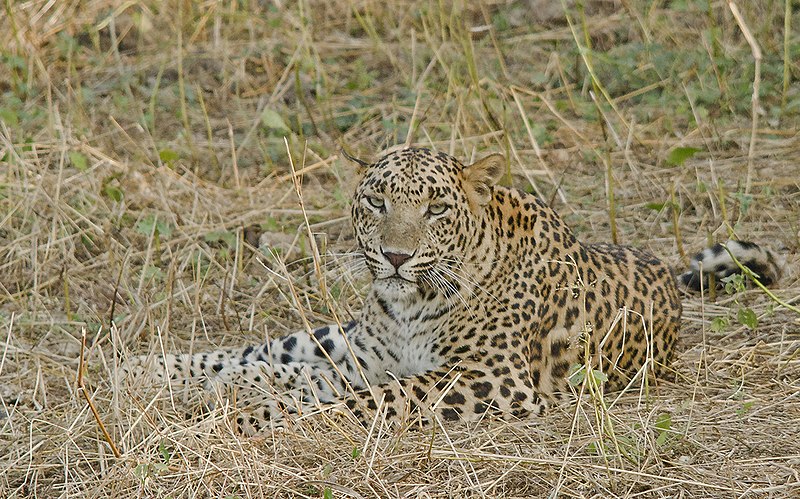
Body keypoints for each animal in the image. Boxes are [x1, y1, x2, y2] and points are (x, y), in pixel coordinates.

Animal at [122, 147, 784, 434]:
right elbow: (339, 383)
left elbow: (374, 398)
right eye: (377, 203)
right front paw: (235, 396)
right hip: (341, 335)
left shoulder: (493, 378)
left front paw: (252, 414)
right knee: (274, 350)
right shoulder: (372, 355)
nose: (395, 257)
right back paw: (145, 368)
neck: (414, 305)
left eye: (437, 209)